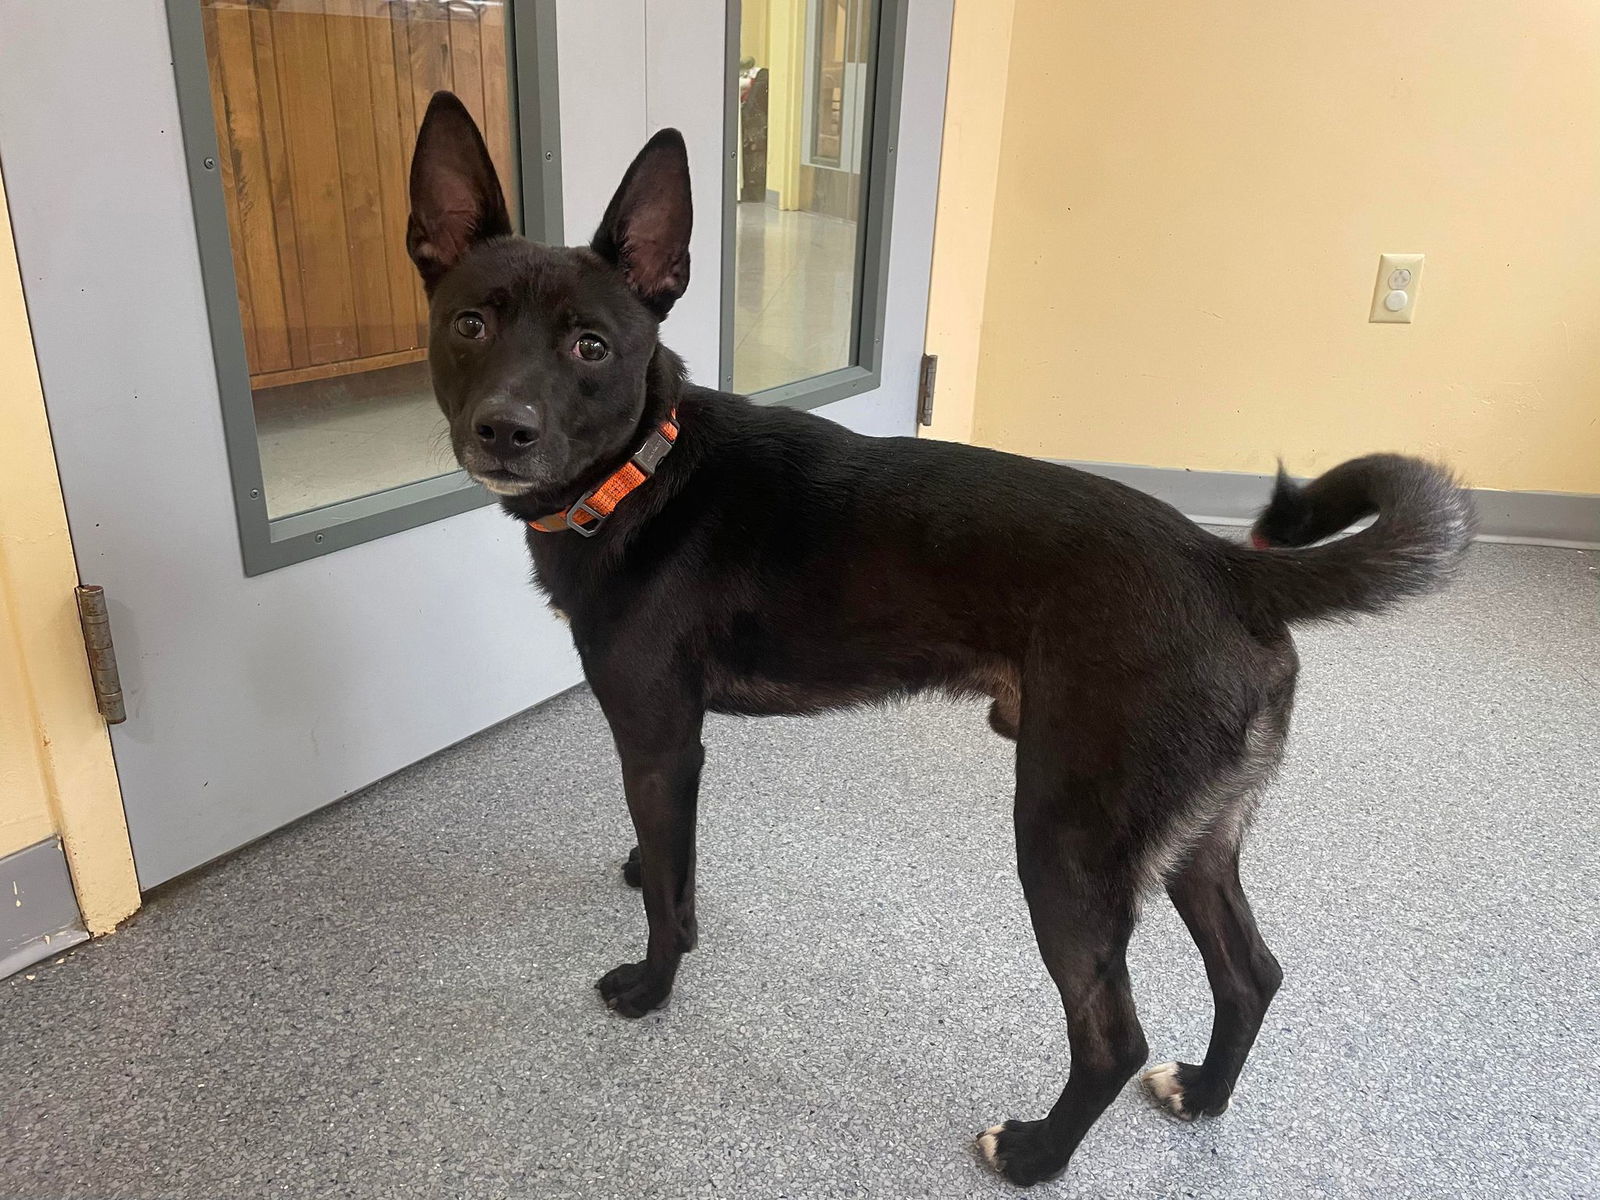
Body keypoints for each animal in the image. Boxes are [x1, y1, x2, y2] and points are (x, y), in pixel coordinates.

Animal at [403, 91, 1472, 1184]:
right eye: (470, 324)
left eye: (591, 347)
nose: (504, 430)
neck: (645, 474)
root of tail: (1227, 566)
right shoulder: (673, 748)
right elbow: (667, 861)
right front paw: (644, 876)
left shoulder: (660, 740)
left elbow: (669, 897)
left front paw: (652, 986)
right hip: (1196, 836)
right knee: (1251, 974)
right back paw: (1203, 1095)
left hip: (1067, 841)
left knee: (1112, 1034)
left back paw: (1036, 1154)